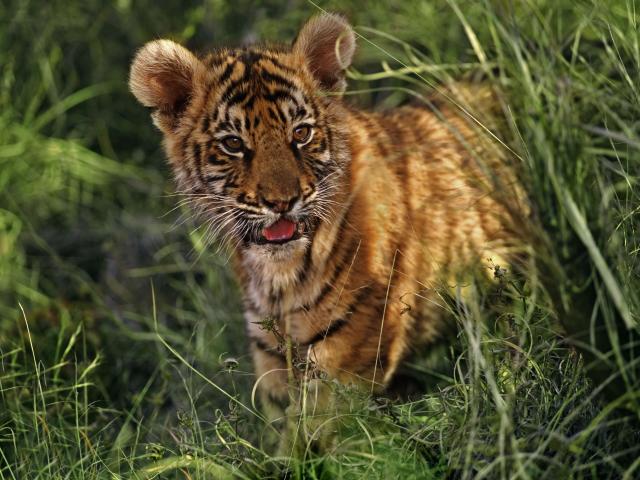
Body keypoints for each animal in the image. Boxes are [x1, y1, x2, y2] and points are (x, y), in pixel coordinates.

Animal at [129, 13, 527, 427]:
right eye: (233, 144)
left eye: (301, 133)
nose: (282, 202)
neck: (277, 281)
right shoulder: (272, 356)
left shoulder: (344, 358)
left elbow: (311, 435)